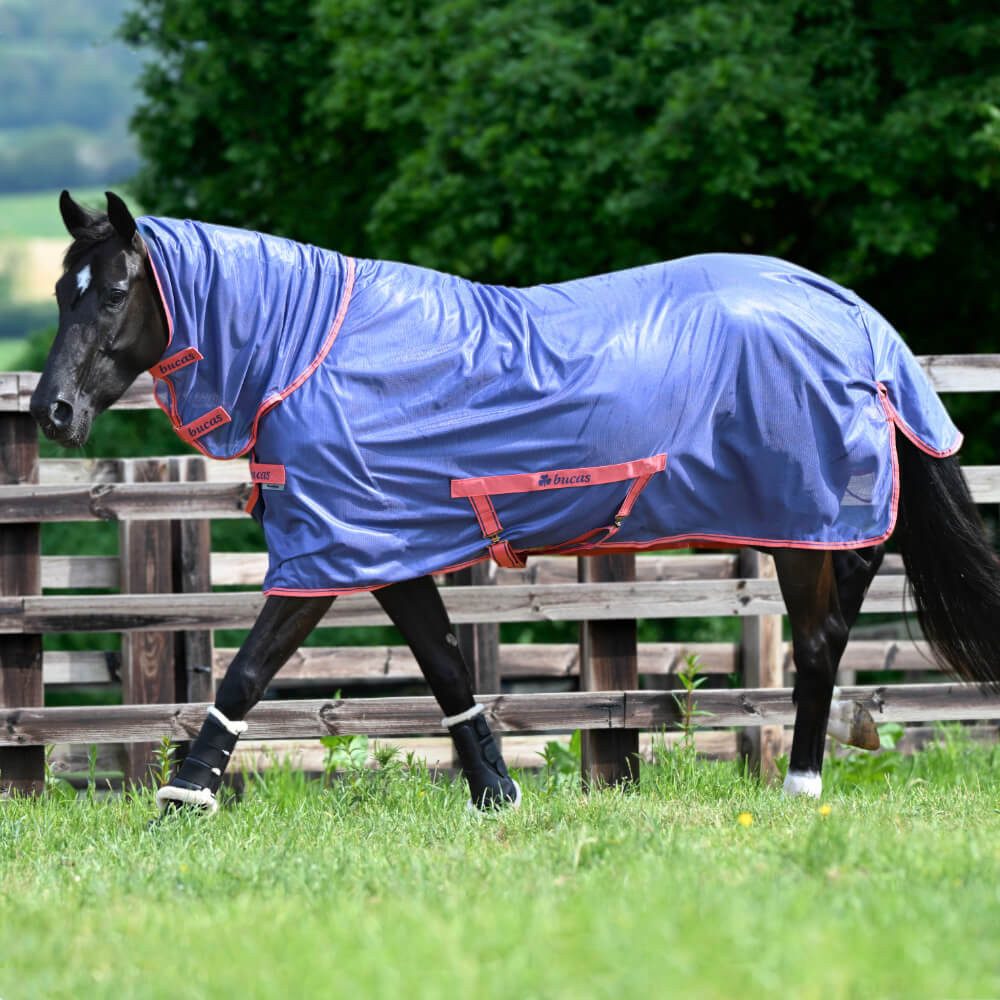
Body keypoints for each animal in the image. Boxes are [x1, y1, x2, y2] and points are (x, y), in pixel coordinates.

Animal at [31, 190, 1000, 812]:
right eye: (59, 292)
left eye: (113, 292)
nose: (54, 412)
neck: (308, 348)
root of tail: (853, 315)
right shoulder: (388, 548)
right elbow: (445, 664)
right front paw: (496, 792)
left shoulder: (336, 549)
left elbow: (250, 665)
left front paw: (185, 793)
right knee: (830, 624)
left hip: (811, 524)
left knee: (823, 638)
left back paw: (802, 785)